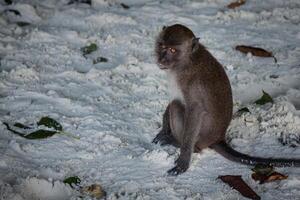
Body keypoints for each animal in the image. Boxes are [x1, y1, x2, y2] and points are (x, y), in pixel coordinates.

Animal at [152, 24, 300, 176]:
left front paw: (183, 160)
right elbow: (173, 99)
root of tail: (219, 138)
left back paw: (178, 143)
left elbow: (196, 110)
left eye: (172, 50)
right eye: (162, 46)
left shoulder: (192, 85)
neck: (186, 61)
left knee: (177, 106)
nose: (161, 59)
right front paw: (163, 130)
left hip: (202, 138)